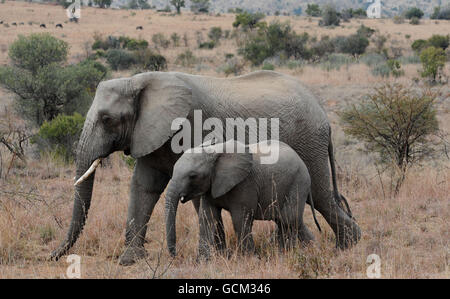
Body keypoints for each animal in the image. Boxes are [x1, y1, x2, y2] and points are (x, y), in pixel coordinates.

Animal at [165, 141, 320, 260]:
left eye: (192, 176)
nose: (175, 256)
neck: (215, 151)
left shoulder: (245, 184)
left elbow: (240, 219)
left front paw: (249, 260)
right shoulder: (210, 187)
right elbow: (207, 218)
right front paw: (203, 262)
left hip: (298, 183)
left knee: (288, 219)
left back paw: (288, 254)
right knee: (290, 221)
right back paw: (310, 249)